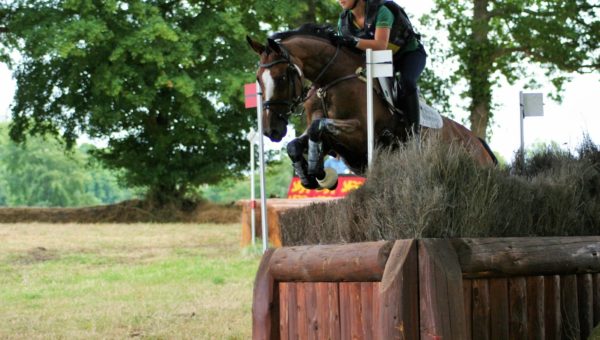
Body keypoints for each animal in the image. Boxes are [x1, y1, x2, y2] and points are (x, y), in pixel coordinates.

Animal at [246, 24, 494, 191]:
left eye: (281, 78)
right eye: (258, 79)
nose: (271, 130)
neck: (330, 82)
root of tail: (479, 143)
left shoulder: (360, 134)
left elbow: (318, 127)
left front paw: (318, 170)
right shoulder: (334, 141)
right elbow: (297, 143)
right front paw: (310, 175)